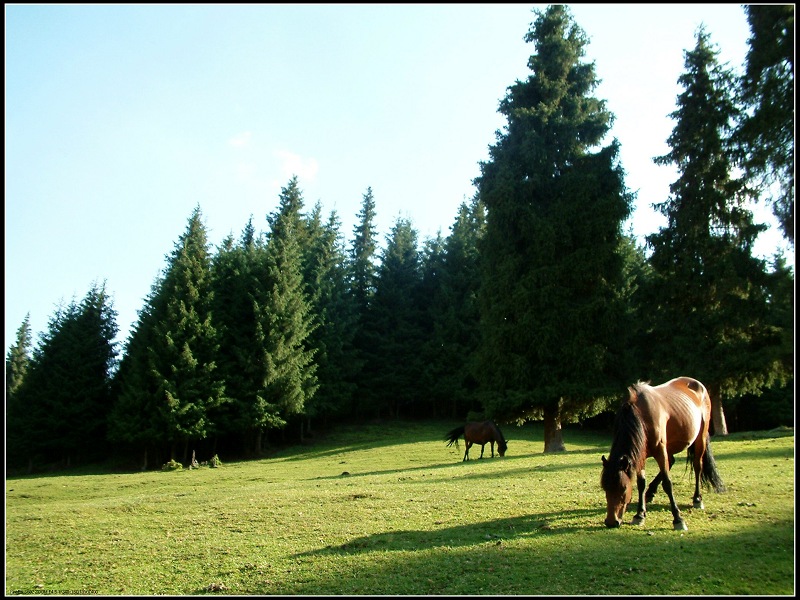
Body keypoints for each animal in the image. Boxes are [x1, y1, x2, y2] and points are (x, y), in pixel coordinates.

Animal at [600, 378, 724, 532]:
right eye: (605, 488)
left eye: (623, 489)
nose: (611, 521)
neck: (641, 415)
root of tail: (697, 384)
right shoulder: (641, 454)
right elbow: (641, 483)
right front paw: (639, 515)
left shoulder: (660, 450)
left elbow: (667, 483)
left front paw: (678, 519)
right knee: (672, 461)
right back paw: (650, 492)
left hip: (700, 438)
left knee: (697, 466)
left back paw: (697, 499)